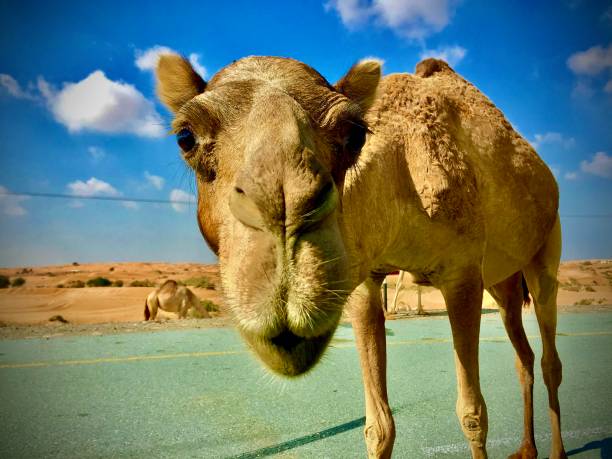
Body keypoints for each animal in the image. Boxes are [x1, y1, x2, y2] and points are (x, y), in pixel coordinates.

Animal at [155, 54, 568, 459]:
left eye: (354, 134)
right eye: (186, 137)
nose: (284, 233)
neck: (402, 175)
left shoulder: (462, 274)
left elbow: (473, 414)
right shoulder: (364, 280)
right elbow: (378, 427)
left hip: (546, 251)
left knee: (550, 354)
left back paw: (555, 451)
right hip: (503, 280)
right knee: (523, 353)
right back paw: (526, 449)